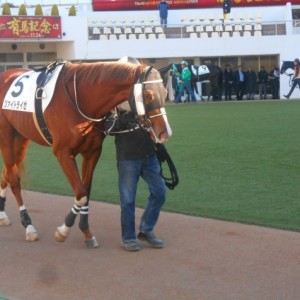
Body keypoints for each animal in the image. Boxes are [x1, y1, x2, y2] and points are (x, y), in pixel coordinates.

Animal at [0, 61, 171, 248]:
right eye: (148, 95)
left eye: (165, 93)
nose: (164, 133)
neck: (80, 99)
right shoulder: (63, 152)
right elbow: (80, 193)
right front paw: (64, 230)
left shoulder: (92, 152)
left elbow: (86, 191)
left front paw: (86, 233)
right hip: (6, 136)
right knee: (14, 180)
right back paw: (28, 226)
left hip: (20, 137)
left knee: (6, 174)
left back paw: (2, 215)